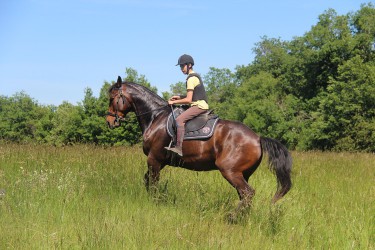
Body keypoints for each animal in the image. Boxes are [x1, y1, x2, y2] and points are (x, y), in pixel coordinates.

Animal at [106, 76, 294, 217]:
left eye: (112, 98)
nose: (109, 121)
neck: (155, 116)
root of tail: (257, 138)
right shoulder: (160, 161)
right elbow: (147, 181)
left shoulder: (154, 159)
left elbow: (152, 183)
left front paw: (156, 202)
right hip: (243, 173)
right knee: (244, 195)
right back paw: (242, 218)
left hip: (230, 171)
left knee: (248, 193)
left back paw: (232, 217)